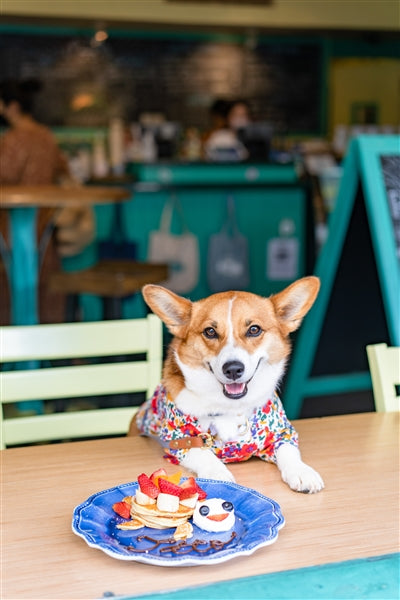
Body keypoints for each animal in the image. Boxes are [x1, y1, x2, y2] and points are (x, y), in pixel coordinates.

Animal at [131, 276, 324, 492]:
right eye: (210, 331)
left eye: (254, 329)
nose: (232, 369)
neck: (231, 406)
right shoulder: (179, 441)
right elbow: (203, 454)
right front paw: (218, 474)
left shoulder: (282, 433)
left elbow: (289, 450)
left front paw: (302, 472)